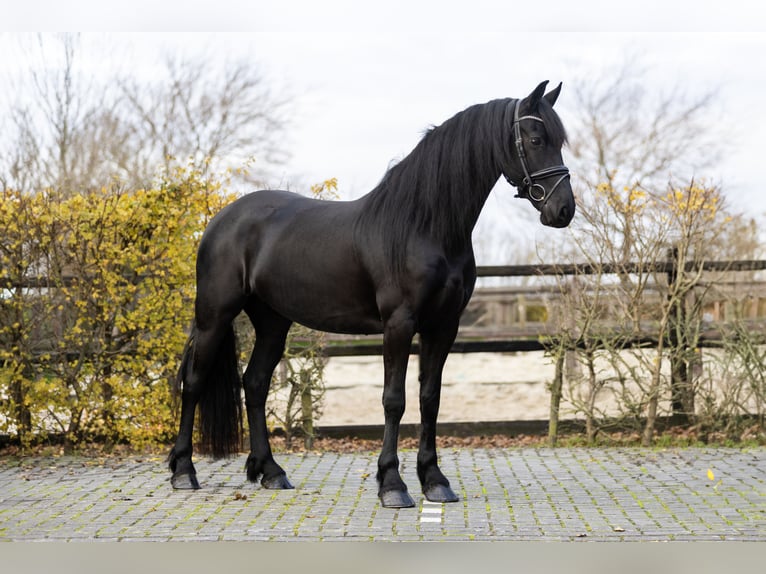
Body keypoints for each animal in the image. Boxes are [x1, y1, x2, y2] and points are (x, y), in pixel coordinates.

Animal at [170, 80, 576, 508]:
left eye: (559, 141)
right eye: (535, 139)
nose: (563, 209)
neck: (424, 225)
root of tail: (220, 219)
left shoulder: (443, 325)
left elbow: (430, 397)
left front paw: (435, 480)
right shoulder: (398, 324)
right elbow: (393, 399)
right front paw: (392, 484)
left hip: (272, 322)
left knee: (255, 384)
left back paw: (271, 472)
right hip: (214, 315)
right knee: (193, 382)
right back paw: (184, 472)